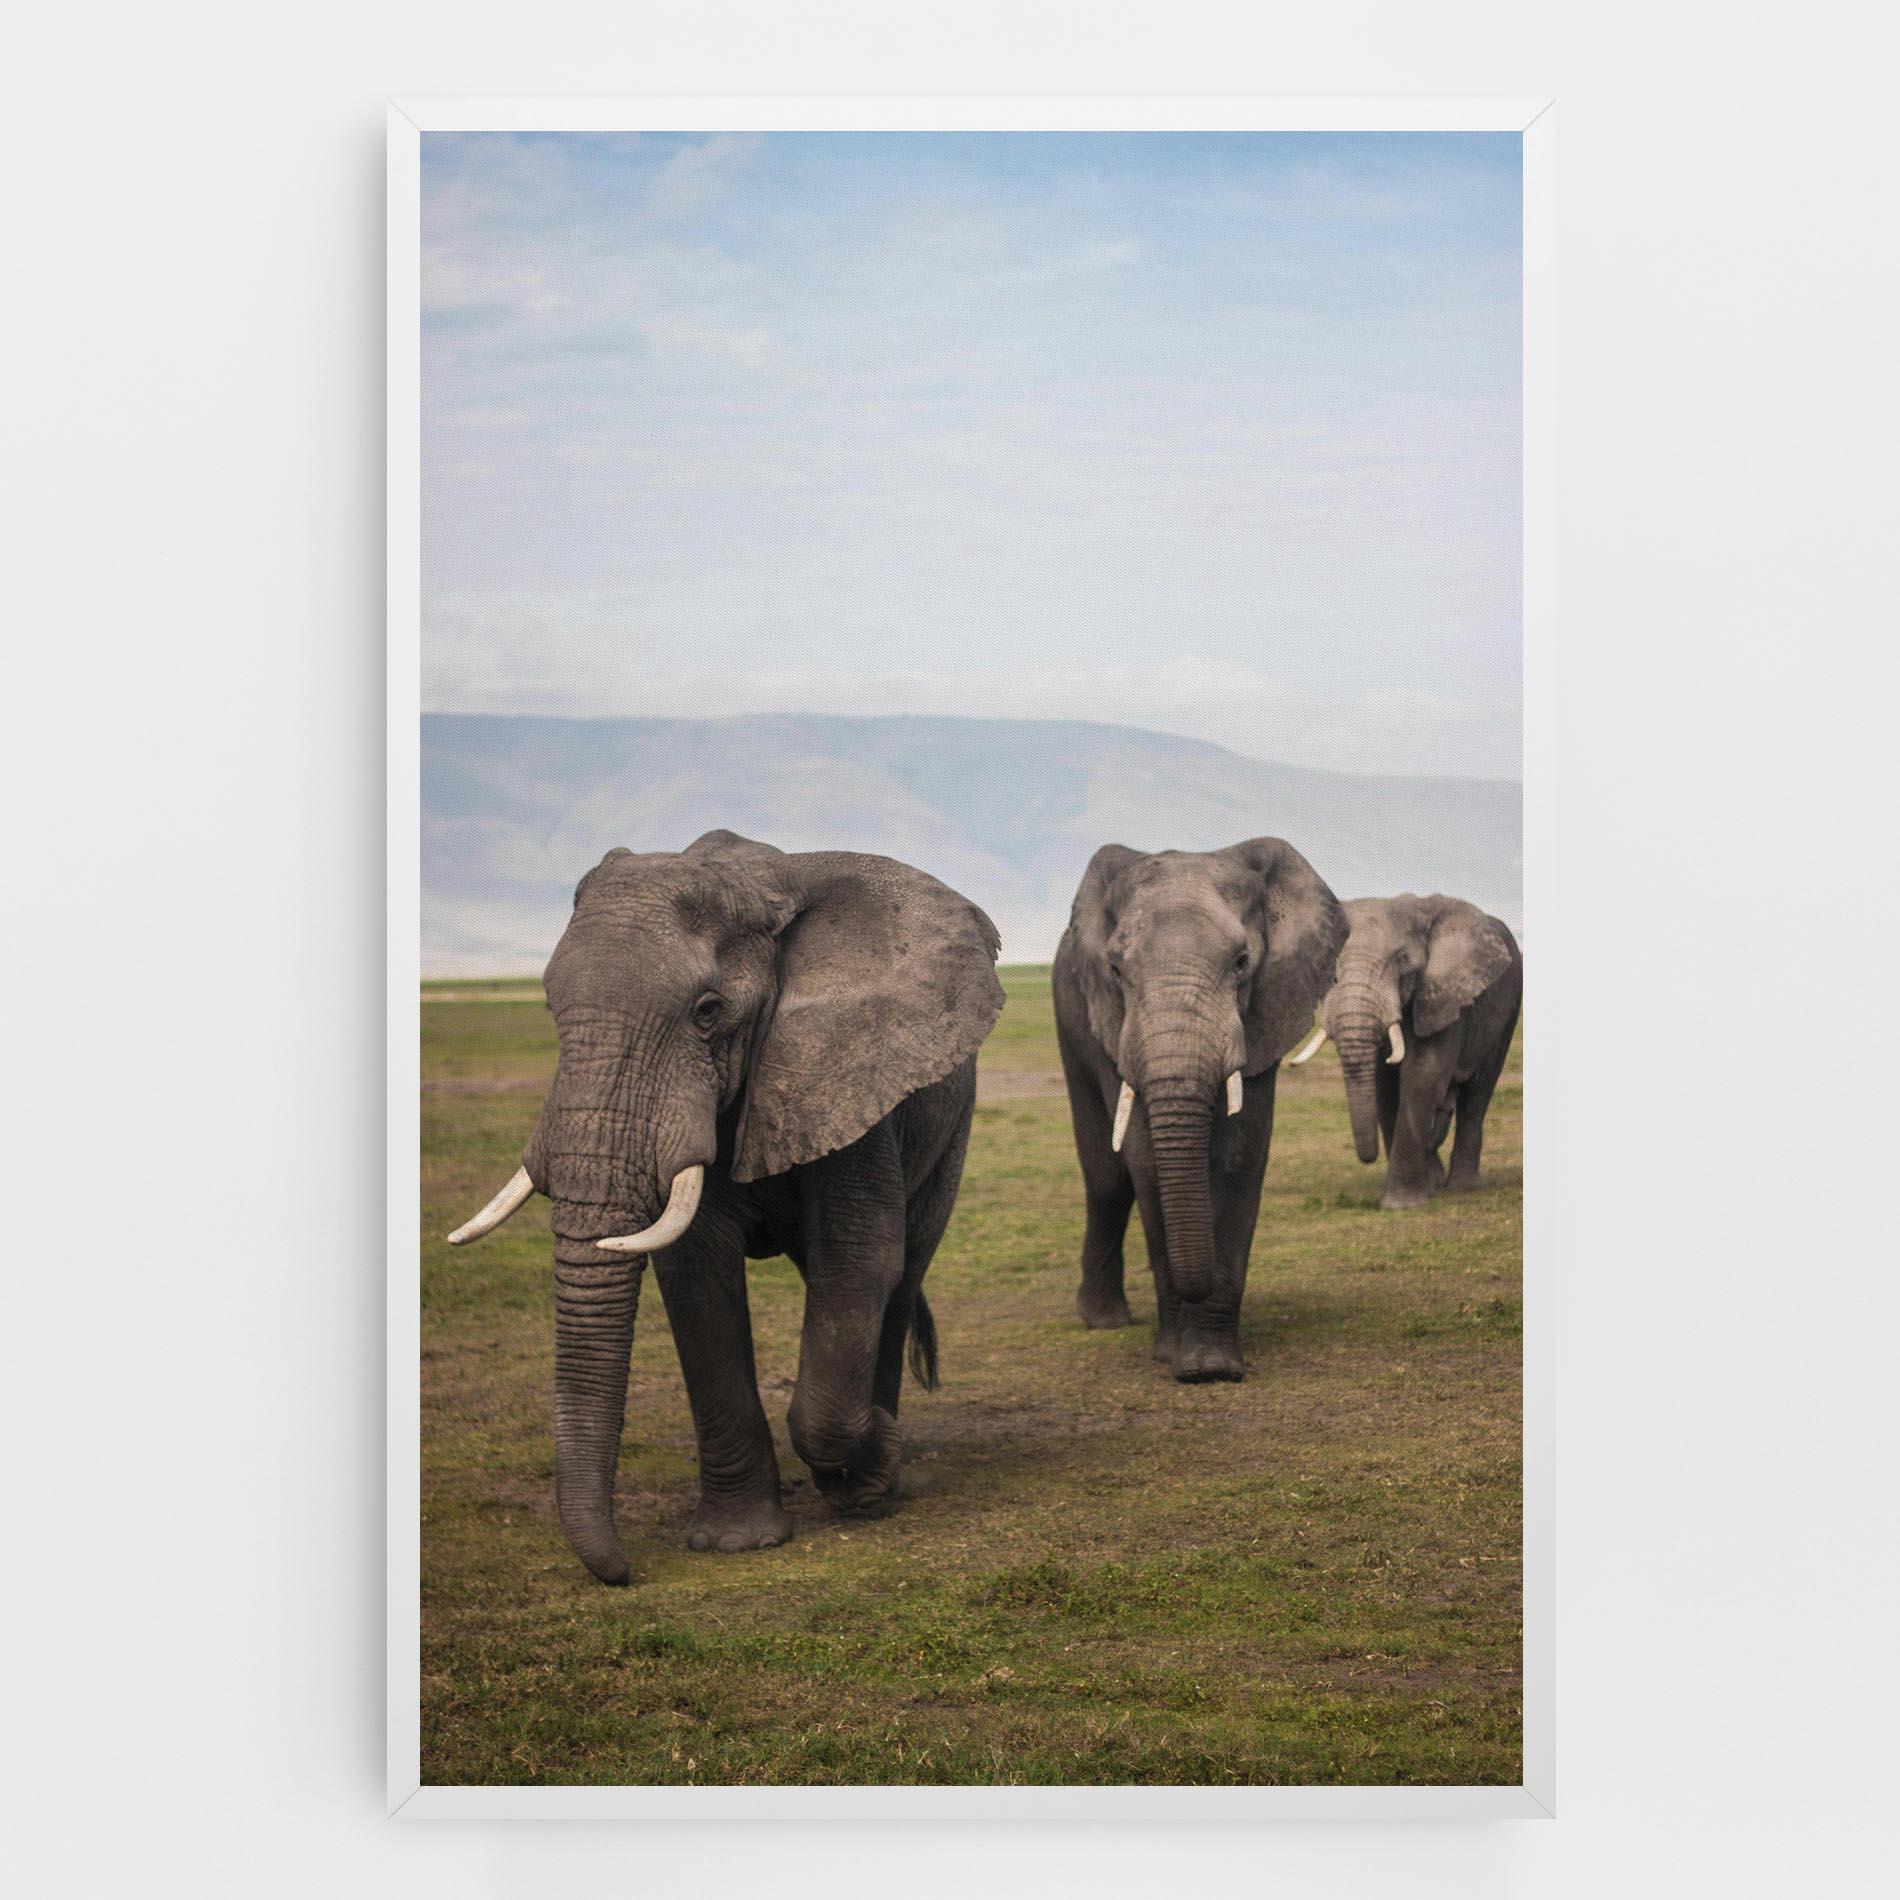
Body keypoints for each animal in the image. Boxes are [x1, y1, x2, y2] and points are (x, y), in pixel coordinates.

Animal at [445, 829, 1004, 1584]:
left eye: (707, 1011)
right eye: (549, 1008)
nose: (623, 1571)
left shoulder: (847, 1071)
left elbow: (859, 1260)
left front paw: (871, 1465)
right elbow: (696, 1275)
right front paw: (736, 1542)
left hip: (953, 1125)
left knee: (903, 1268)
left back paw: (875, 1479)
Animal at [1052, 839, 1347, 1382]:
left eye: (1243, 961)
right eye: (1115, 969)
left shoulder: (1263, 1013)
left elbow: (1238, 1157)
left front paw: (1211, 1366)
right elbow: (1146, 1163)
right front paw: (1176, 1358)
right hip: (1069, 1016)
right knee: (1107, 1178)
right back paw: (1103, 1321)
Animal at [1287, 895, 1522, 1209]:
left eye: (1402, 962)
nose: (1368, 1157)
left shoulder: (1442, 995)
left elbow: (1424, 1073)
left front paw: (1401, 1205)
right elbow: (1385, 1087)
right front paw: (1425, 1188)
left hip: (1509, 1009)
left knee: (1478, 1091)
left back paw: (1463, 1185)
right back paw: (1437, 1179)